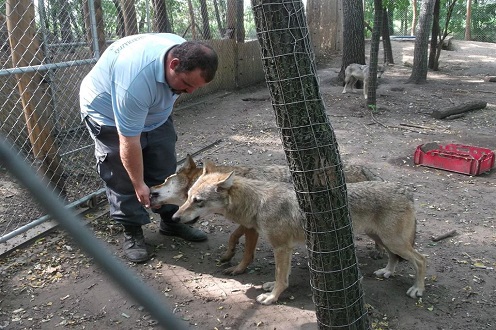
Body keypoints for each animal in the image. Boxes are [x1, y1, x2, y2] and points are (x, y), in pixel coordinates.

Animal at [147, 155, 380, 276]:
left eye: (165, 179)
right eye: (188, 199)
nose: (150, 188)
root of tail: (364, 168)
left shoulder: (252, 227)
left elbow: (246, 251)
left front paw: (238, 268)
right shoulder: (248, 223)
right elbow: (233, 236)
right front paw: (228, 254)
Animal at [171, 160, 426, 304]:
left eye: (198, 201)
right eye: (188, 197)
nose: (174, 218)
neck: (258, 203)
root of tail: (405, 190)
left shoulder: (281, 247)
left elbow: (281, 277)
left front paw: (272, 297)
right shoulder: (286, 248)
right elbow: (282, 275)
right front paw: (270, 288)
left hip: (393, 241)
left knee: (421, 260)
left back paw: (417, 289)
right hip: (383, 238)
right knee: (395, 258)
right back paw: (387, 272)